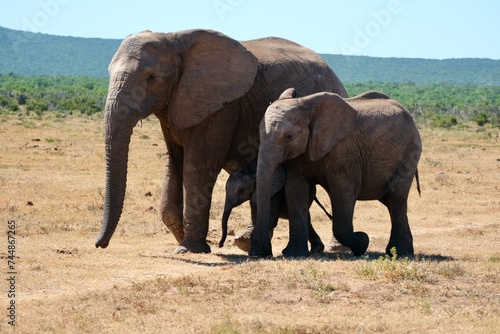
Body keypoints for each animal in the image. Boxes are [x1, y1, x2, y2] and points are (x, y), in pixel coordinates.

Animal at [93, 29, 348, 253]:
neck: (172, 38)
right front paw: (183, 239)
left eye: (150, 78)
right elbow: (174, 166)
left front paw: (189, 248)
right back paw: (247, 243)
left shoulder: (220, 108)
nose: (99, 245)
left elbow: (198, 169)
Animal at [252, 87, 420, 258]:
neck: (306, 106)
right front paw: (295, 254)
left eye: (289, 137)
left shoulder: (343, 150)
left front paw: (362, 242)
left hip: (409, 152)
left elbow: (343, 191)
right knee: (390, 202)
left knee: (396, 198)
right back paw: (407, 251)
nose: (266, 253)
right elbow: (295, 191)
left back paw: (398, 253)